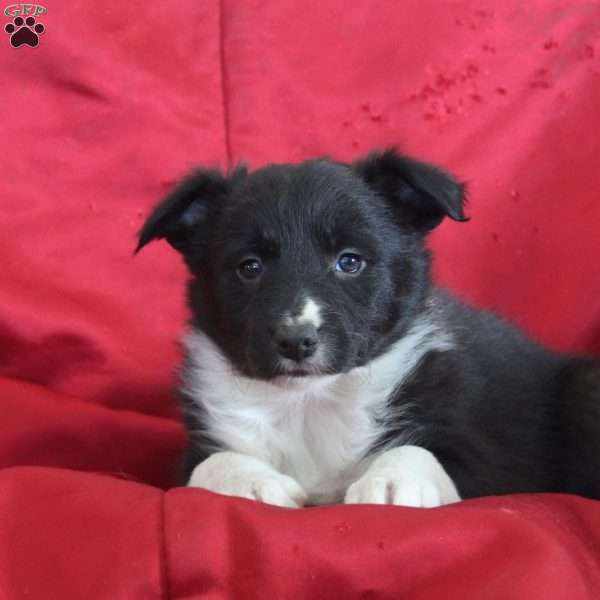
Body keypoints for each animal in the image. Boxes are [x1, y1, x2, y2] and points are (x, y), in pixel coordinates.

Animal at [136, 149, 600, 506]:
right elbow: (209, 463)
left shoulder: (485, 457)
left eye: (349, 261)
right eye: (249, 267)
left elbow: (420, 451)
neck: (310, 403)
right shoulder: (196, 450)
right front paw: (252, 483)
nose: (296, 341)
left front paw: (392, 481)